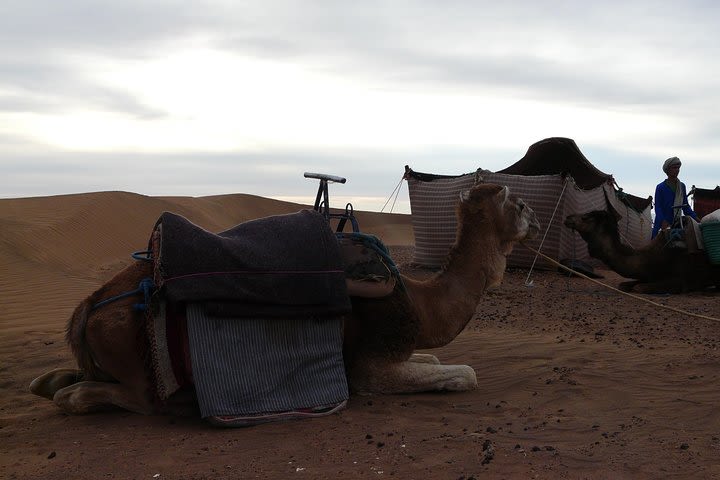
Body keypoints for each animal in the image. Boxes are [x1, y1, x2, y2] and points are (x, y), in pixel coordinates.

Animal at [31, 184, 536, 416]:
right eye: (514, 202)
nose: (533, 214)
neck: (420, 301)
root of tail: (89, 307)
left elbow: (433, 361)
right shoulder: (369, 366)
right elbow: (465, 374)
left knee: (64, 383)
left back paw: (51, 381)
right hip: (139, 366)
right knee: (106, 397)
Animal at [564, 202, 716, 292]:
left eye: (586, 217)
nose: (568, 218)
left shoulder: (682, 281)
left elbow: (639, 288)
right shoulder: (647, 275)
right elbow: (625, 284)